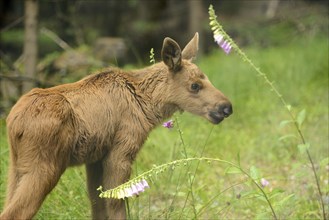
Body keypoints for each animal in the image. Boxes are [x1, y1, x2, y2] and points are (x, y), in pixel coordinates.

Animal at [0, 33, 231, 220]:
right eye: (195, 85)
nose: (226, 107)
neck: (146, 106)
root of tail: (14, 123)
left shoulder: (95, 159)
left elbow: (98, 203)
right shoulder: (121, 150)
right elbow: (116, 202)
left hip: (16, 166)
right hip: (45, 165)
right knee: (15, 213)